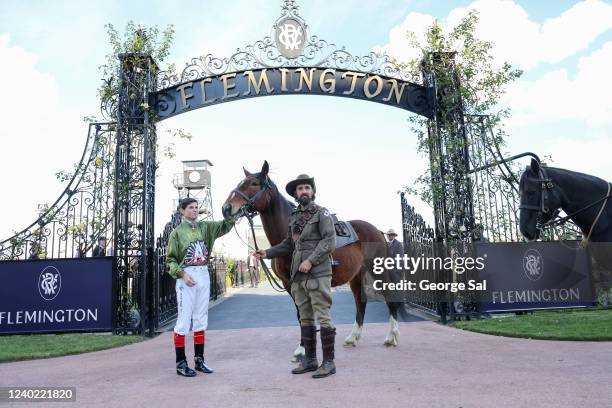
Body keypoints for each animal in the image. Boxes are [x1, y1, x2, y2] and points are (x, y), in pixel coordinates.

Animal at [222, 161, 404, 358]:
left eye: (254, 183)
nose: (226, 209)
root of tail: (377, 230)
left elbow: (304, 314)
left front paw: (304, 349)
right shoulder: (289, 284)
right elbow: (301, 315)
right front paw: (303, 346)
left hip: (378, 270)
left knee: (388, 297)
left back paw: (392, 337)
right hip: (356, 276)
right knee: (360, 303)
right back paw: (353, 338)